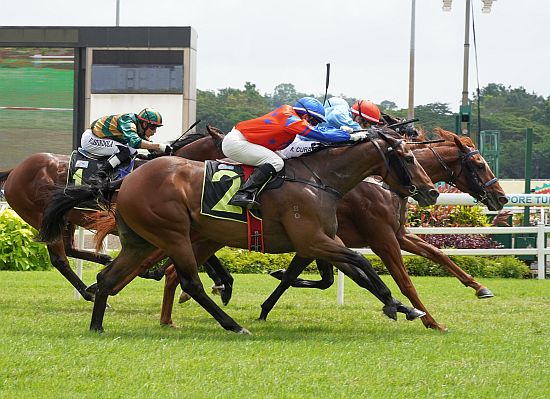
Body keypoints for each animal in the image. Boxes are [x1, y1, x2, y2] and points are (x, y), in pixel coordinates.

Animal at [0, 128, 226, 300]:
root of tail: (15, 171)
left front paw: (221, 282)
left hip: (64, 218)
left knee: (70, 249)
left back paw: (104, 259)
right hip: (41, 215)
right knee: (60, 260)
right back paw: (89, 292)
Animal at [37, 128, 440, 334]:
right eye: (408, 157)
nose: (431, 191)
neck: (318, 178)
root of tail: (126, 181)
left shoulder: (322, 241)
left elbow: (358, 271)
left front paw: (403, 307)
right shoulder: (314, 240)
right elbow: (364, 263)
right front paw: (399, 306)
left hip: (143, 240)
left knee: (109, 277)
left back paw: (98, 325)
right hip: (173, 234)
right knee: (189, 282)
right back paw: (232, 325)